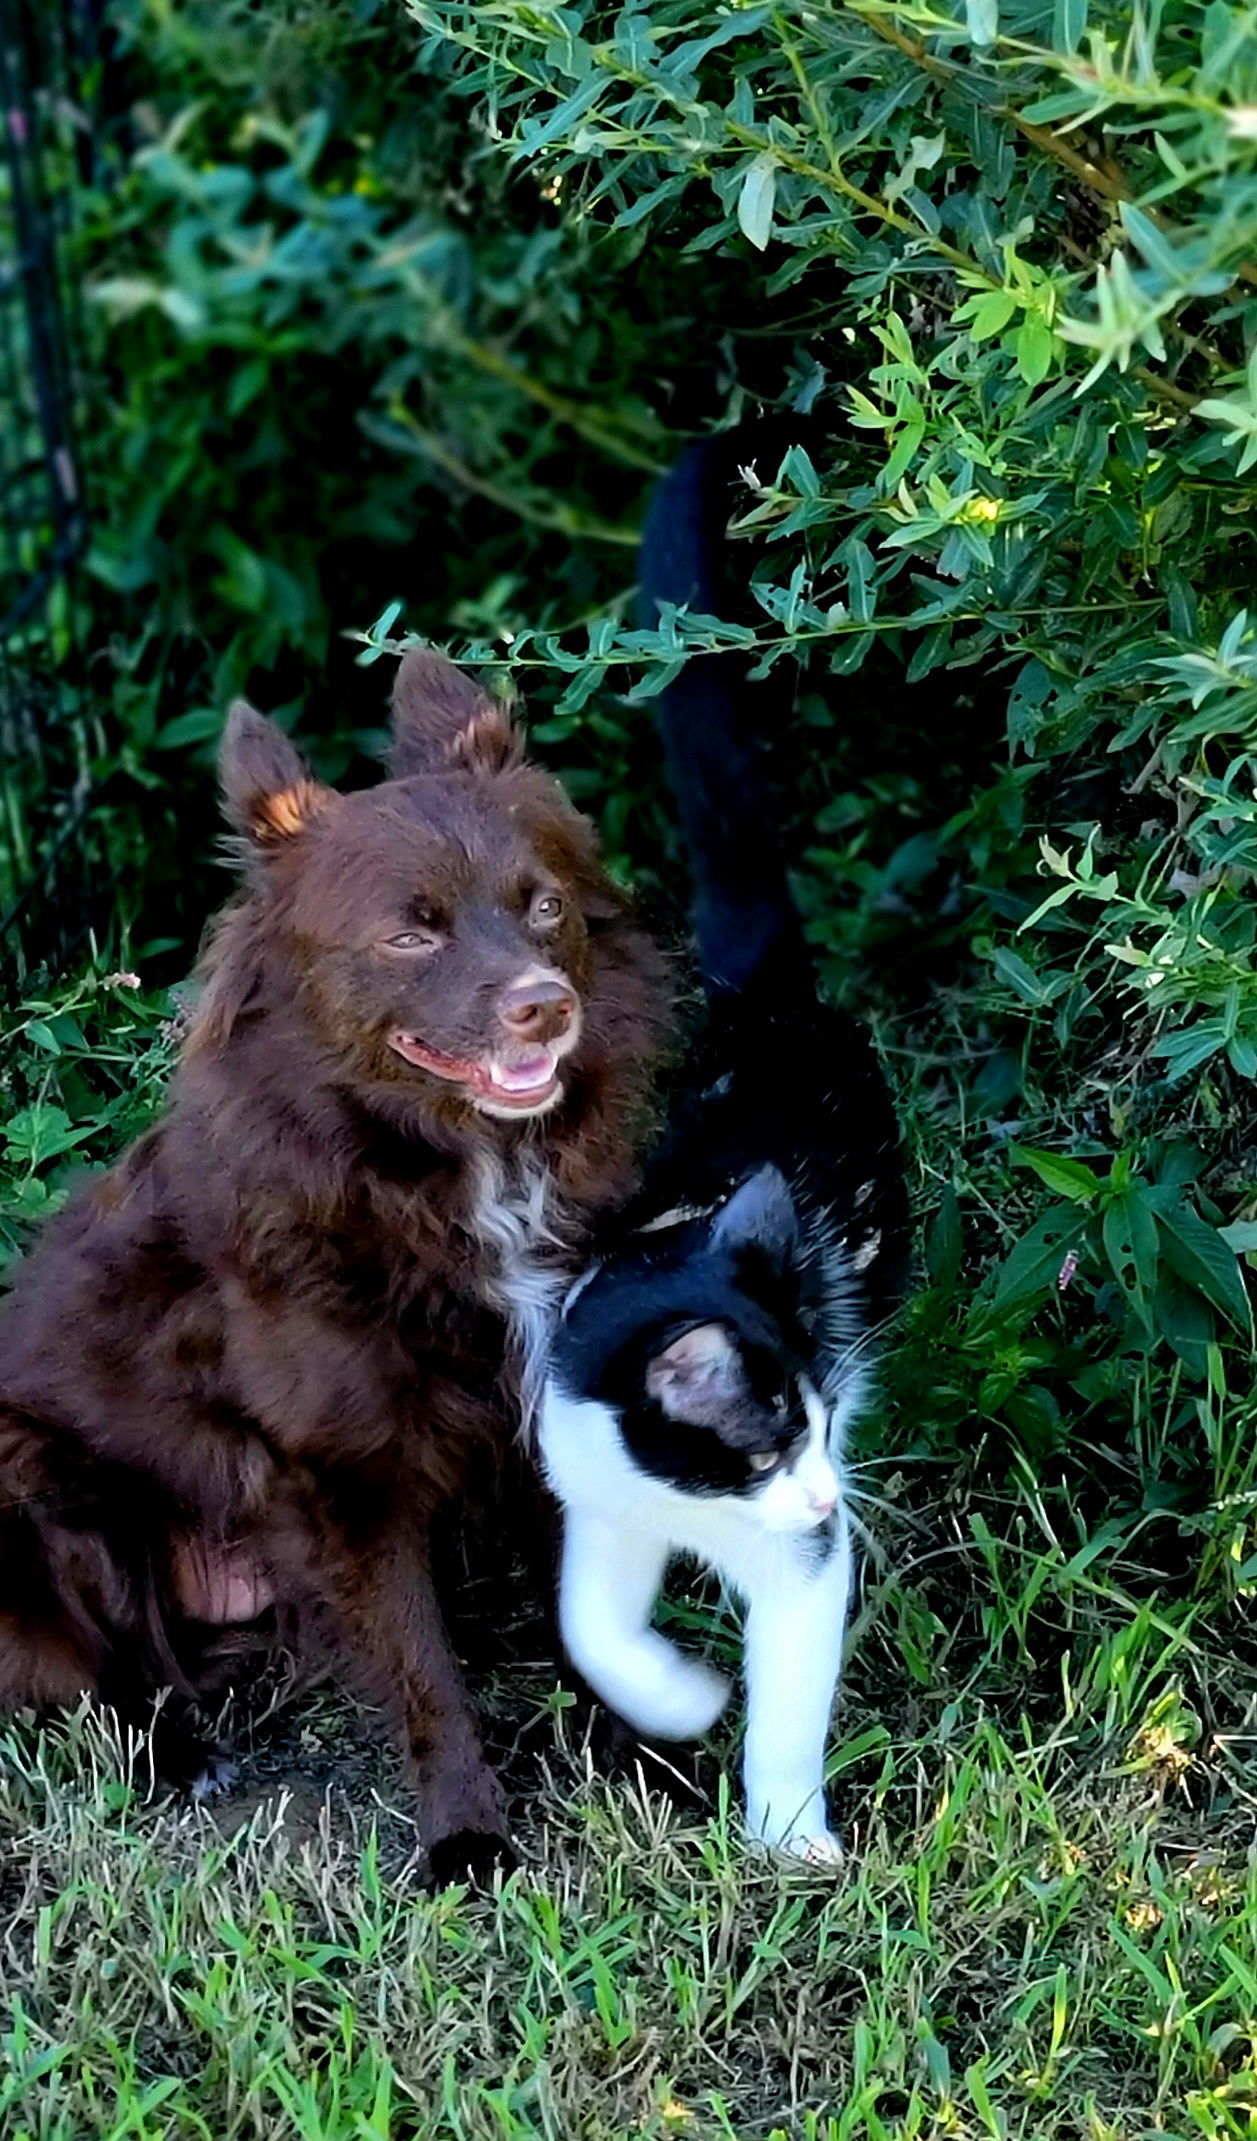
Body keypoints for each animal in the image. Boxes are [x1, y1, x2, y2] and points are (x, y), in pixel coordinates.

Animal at [0, 646, 668, 1875]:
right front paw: (467, 1839)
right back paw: (182, 1758)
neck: (433, 1172)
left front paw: (655, 1763)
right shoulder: (344, 1472)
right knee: (111, 1676)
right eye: (410, 935)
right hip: (38, 1481)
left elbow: (594, 1612)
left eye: (545, 906)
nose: (545, 1007)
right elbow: (422, 1669)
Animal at [535, 430, 907, 1858]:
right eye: (759, 1444)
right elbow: (591, 1624)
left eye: (813, 1431)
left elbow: (794, 1673)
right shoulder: (597, 1490)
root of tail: (769, 1008)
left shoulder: (801, 1559)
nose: (823, 1493)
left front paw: (791, 1829)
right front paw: (679, 1695)